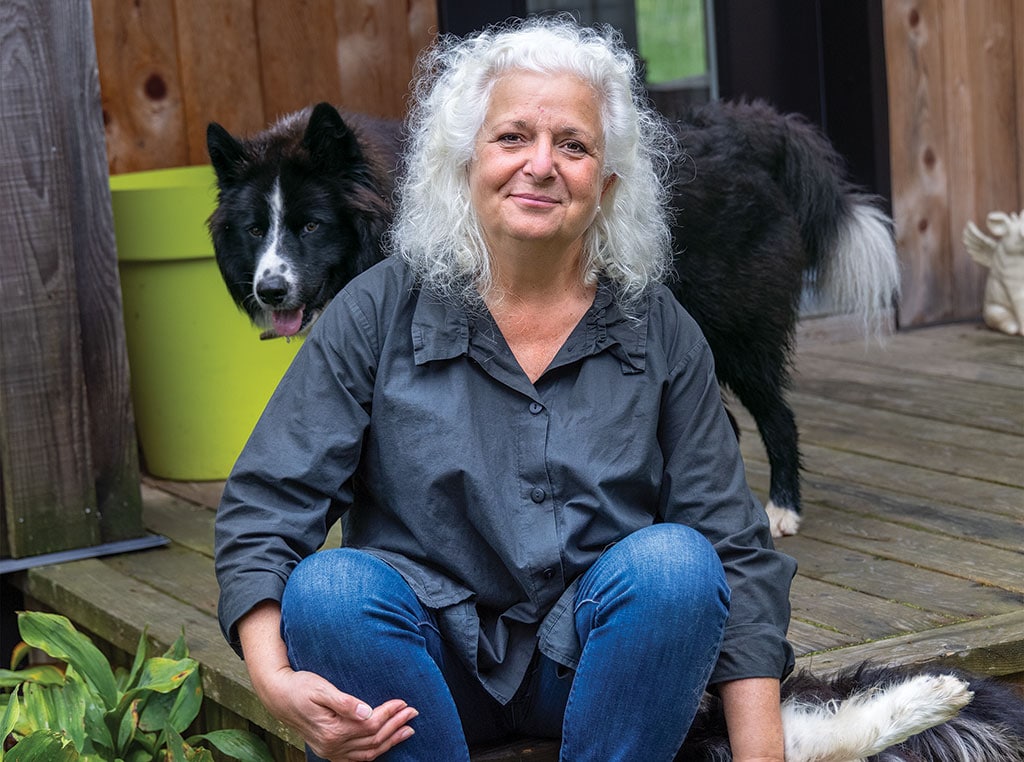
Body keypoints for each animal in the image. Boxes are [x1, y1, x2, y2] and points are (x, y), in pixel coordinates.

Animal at [203, 101, 901, 540]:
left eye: (310, 226)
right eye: (254, 229)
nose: (270, 289)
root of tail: (757, 130)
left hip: (735, 332)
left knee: (776, 416)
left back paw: (783, 512)